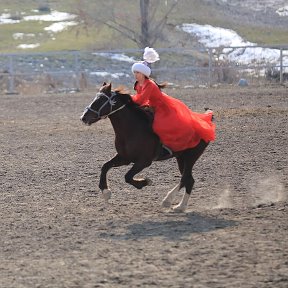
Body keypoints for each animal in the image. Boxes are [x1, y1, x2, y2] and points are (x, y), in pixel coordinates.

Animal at [80, 82, 209, 213]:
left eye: (100, 100)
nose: (84, 117)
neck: (132, 130)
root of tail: (206, 123)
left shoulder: (144, 161)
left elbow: (127, 176)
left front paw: (144, 182)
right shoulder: (124, 158)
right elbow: (105, 166)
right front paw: (106, 191)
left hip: (191, 157)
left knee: (185, 178)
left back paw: (168, 201)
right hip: (181, 157)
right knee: (189, 180)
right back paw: (180, 206)